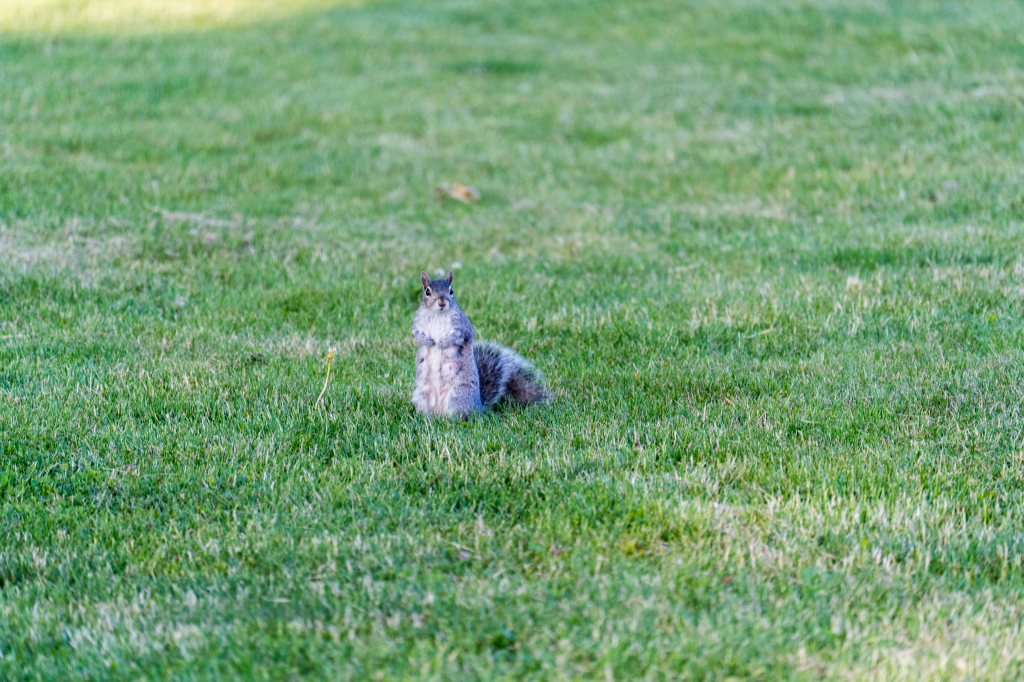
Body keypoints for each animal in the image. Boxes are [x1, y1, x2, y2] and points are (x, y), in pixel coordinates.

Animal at [411, 270, 549, 418]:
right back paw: (426, 418)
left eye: (451, 291)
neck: (438, 314)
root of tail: (479, 407)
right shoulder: (417, 324)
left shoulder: (463, 327)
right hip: (422, 396)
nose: (442, 302)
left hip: (457, 396)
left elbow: (459, 335)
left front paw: (444, 342)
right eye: (427, 292)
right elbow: (416, 334)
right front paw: (427, 341)